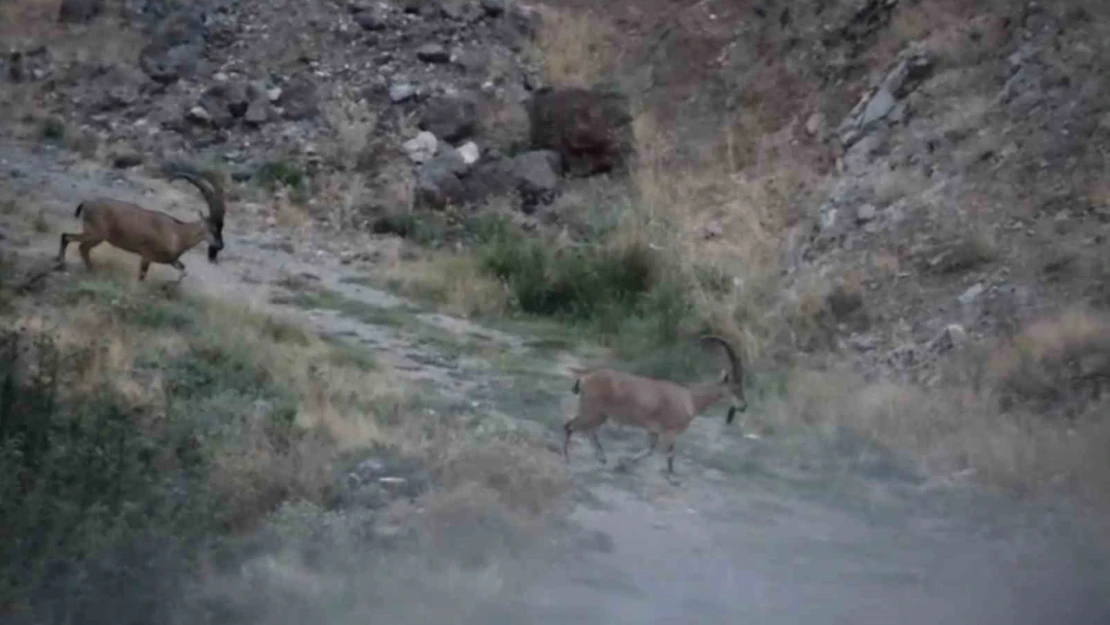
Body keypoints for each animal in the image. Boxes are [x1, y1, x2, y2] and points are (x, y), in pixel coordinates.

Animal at [563, 335, 745, 477]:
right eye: (735, 389)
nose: (744, 406)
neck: (691, 399)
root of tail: (585, 379)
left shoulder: (653, 430)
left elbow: (650, 449)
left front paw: (622, 464)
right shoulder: (670, 431)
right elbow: (670, 455)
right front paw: (673, 478)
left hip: (599, 413)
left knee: (589, 430)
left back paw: (602, 458)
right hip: (593, 411)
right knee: (570, 426)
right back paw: (568, 458)